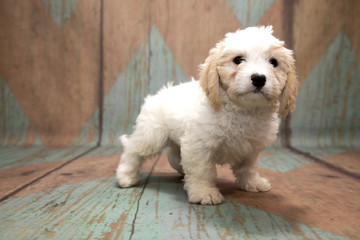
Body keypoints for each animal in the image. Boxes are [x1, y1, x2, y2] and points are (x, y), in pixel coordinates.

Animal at [116, 26, 298, 204]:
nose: (259, 78)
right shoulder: (198, 146)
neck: (243, 110)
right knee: (133, 150)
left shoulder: (251, 149)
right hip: (151, 135)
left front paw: (252, 183)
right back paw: (126, 175)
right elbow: (202, 171)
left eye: (273, 62)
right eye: (238, 60)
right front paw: (204, 193)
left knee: (173, 155)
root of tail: (156, 95)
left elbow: (248, 168)